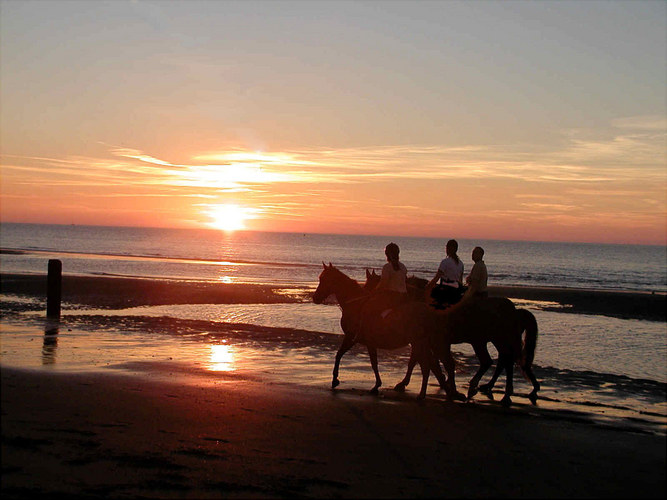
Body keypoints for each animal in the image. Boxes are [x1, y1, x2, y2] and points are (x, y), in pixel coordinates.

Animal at [316, 264, 446, 400]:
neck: (356, 304)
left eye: (324, 279)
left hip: (419, 343)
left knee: (425, 365)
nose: (315, 297)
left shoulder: (352, 337)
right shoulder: (364, 341)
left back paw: (421, 394)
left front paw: (336, 380)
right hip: (420, 343)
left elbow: (365, 361)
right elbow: (345, 355)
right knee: (426, 364)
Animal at [362, 268, 540, 404]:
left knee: (503, 361)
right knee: (498, 360)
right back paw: (489, 386)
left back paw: (503, 392)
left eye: (370, 286)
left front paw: (405, 383)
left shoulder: (424, 341)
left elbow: (416, 360)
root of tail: (514, 310)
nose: (365, 302)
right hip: (487, 340)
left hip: (492, 339)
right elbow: (422, 361)